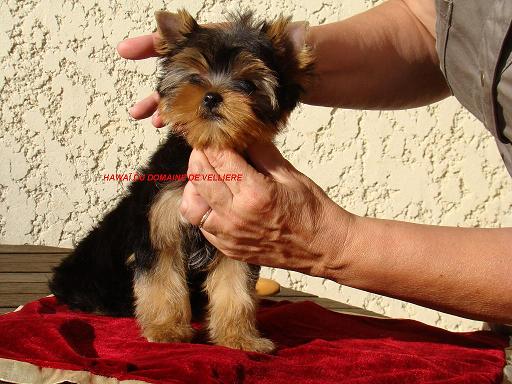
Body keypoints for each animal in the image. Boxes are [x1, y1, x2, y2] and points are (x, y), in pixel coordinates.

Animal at [49, 9, 312, 352]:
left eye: (247, 84)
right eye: (195, 78)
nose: (212, 96)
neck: (207, 144)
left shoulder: (236, 235)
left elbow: (236, 288)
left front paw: (239, 337)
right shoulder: (160, 227)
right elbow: (161, 281)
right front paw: (166, 329)